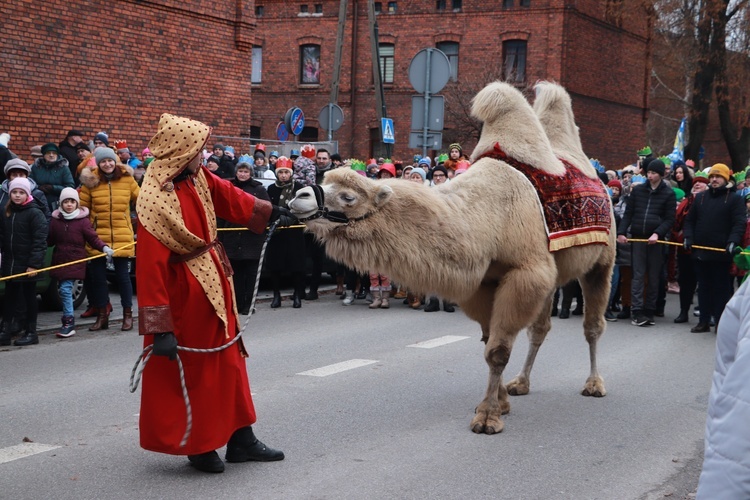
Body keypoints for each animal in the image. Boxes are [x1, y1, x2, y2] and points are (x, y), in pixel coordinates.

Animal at [290, 82, 616, 434]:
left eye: (348, 197)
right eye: (323, 182)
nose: (298, 196)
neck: (486, 217)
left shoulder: (525, 271)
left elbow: (498, 350)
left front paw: (488, 417)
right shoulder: (487, 280)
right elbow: (488, 342)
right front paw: (501, 402)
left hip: (603, 260)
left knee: (592, 325)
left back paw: (594, 384)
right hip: (553, 273)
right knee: (540, 328)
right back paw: (522, 383)